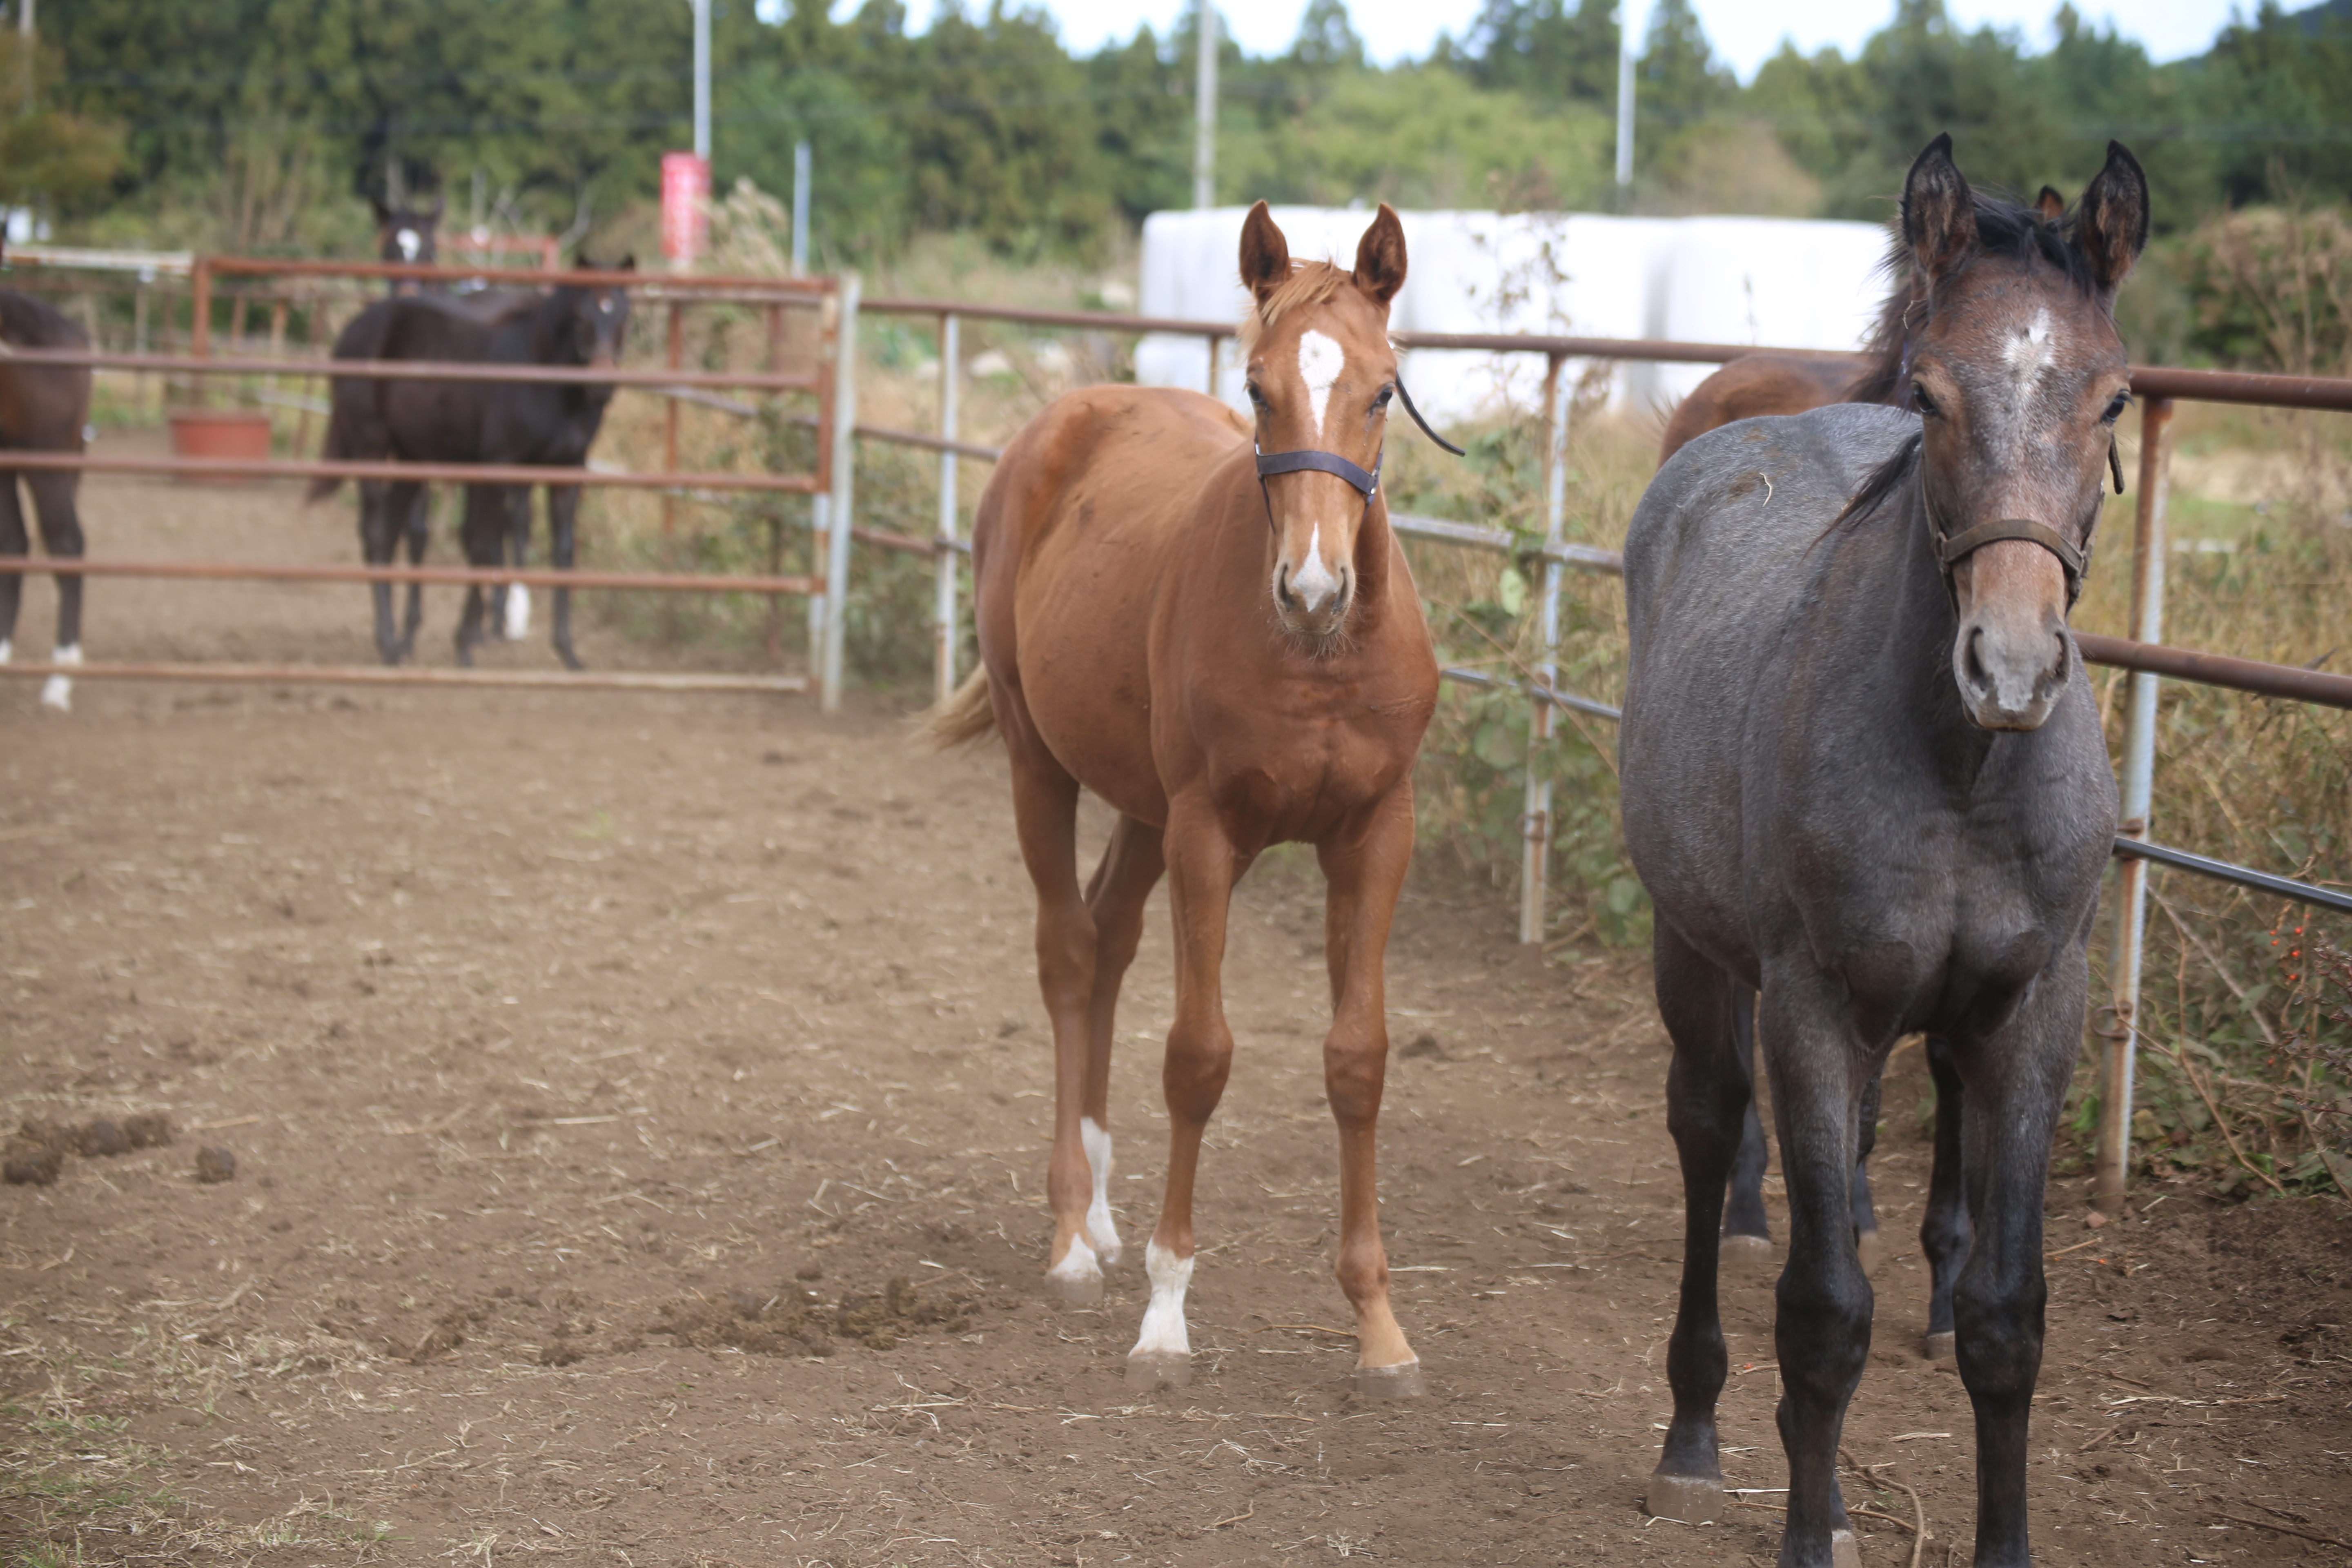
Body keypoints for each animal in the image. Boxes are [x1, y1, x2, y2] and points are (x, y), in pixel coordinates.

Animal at [936, 205, 1449, 1401]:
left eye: (1383, 391)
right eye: (1257, 387)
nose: (1311, 589)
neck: (1316, 660)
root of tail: (1066, 417)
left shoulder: (1375, 834)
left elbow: (1358, 1060)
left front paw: (1379, 1325)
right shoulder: (1211, 830)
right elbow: (1199, 1055)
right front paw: (1166, 1310)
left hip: (1141, 808)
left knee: (1108, 940)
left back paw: (1101, 1209)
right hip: (1043, 766)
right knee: (1068, 952)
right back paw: (1073, 1234)